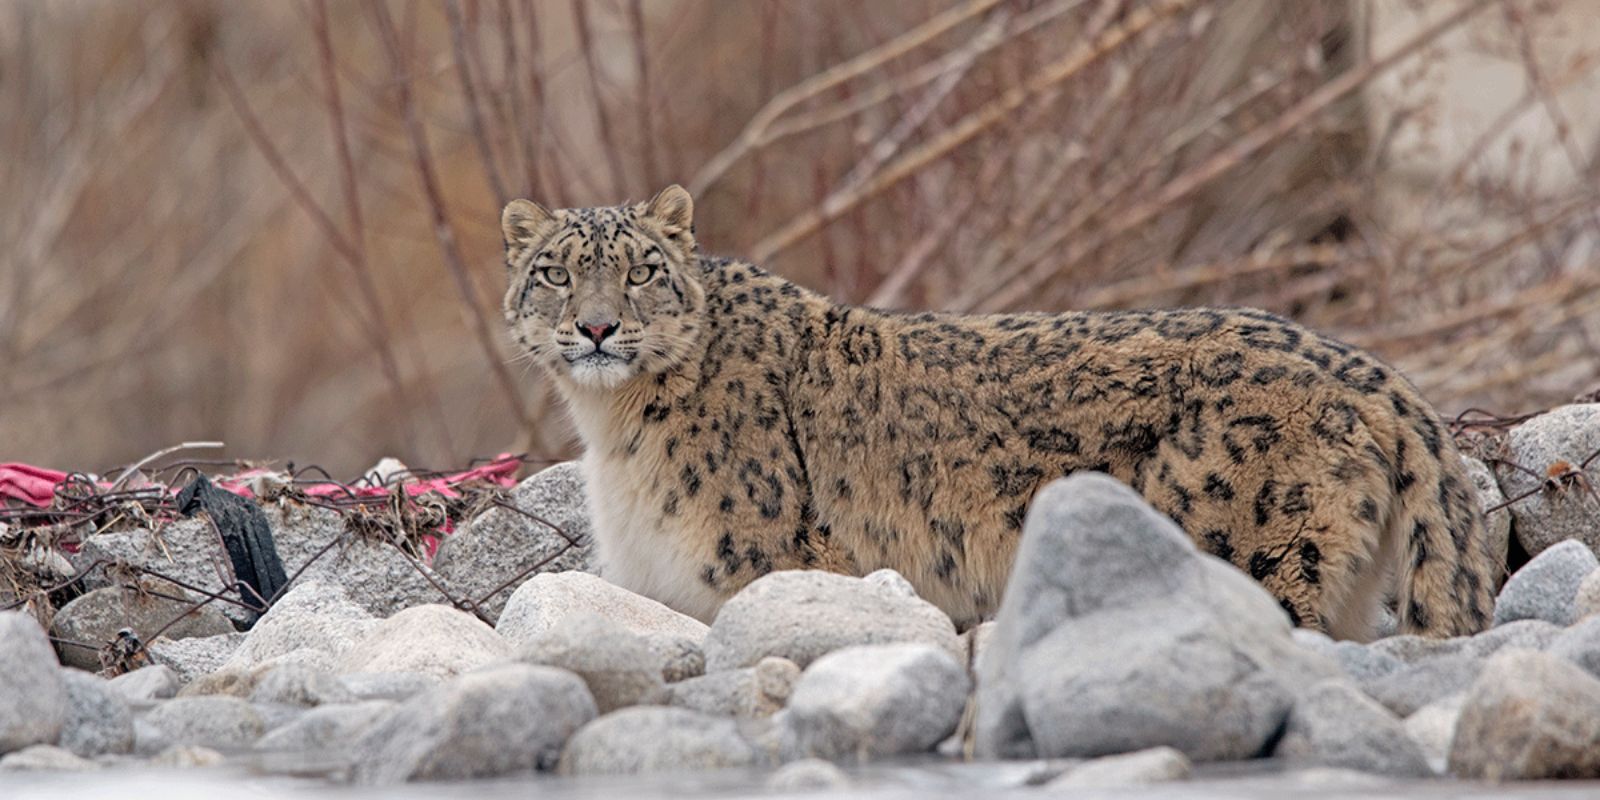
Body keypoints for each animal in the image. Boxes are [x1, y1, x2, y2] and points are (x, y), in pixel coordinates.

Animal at [500, 184, 1496, 641]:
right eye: (553, 270)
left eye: (641, 270)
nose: (597, 326)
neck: (613, 433)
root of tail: (1369, 369)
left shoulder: (760, 571)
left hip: (1251, 551)